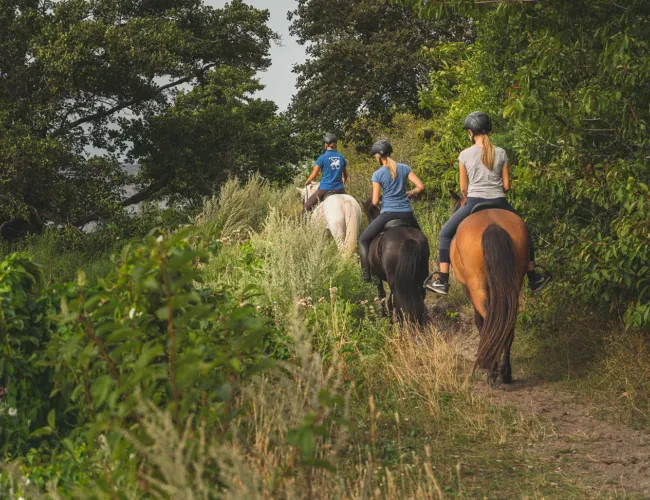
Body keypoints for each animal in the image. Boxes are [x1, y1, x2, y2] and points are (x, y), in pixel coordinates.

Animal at [448, 193, 528, 384]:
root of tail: (493, 225)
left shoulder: (468, 289)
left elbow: (479, 321)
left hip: (476, 285)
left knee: (489, 317)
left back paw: (492, 370)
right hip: (515, 281)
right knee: (508, 320)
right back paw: (505, 372)